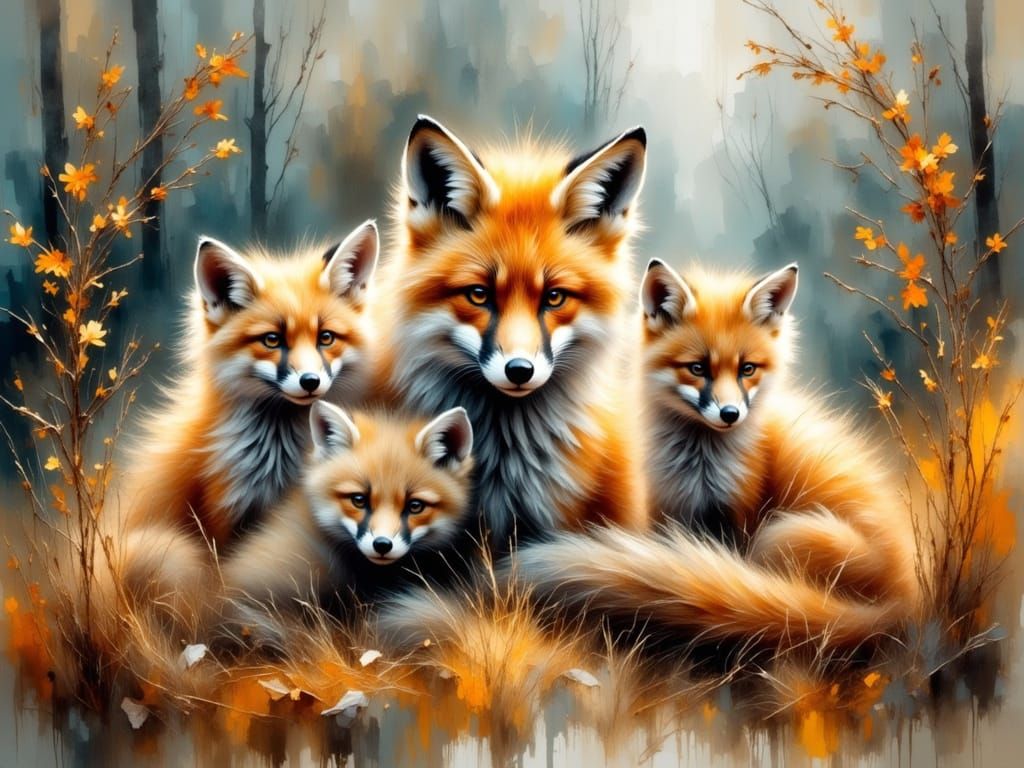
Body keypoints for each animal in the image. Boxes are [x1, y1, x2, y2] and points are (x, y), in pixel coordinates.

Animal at [509, 262, 919, 651]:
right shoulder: (665, 511)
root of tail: (902, 602)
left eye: (747, 369)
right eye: (697, 368)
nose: (730, 414)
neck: (699, 470)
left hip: (782, 536)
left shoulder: (742, 513)